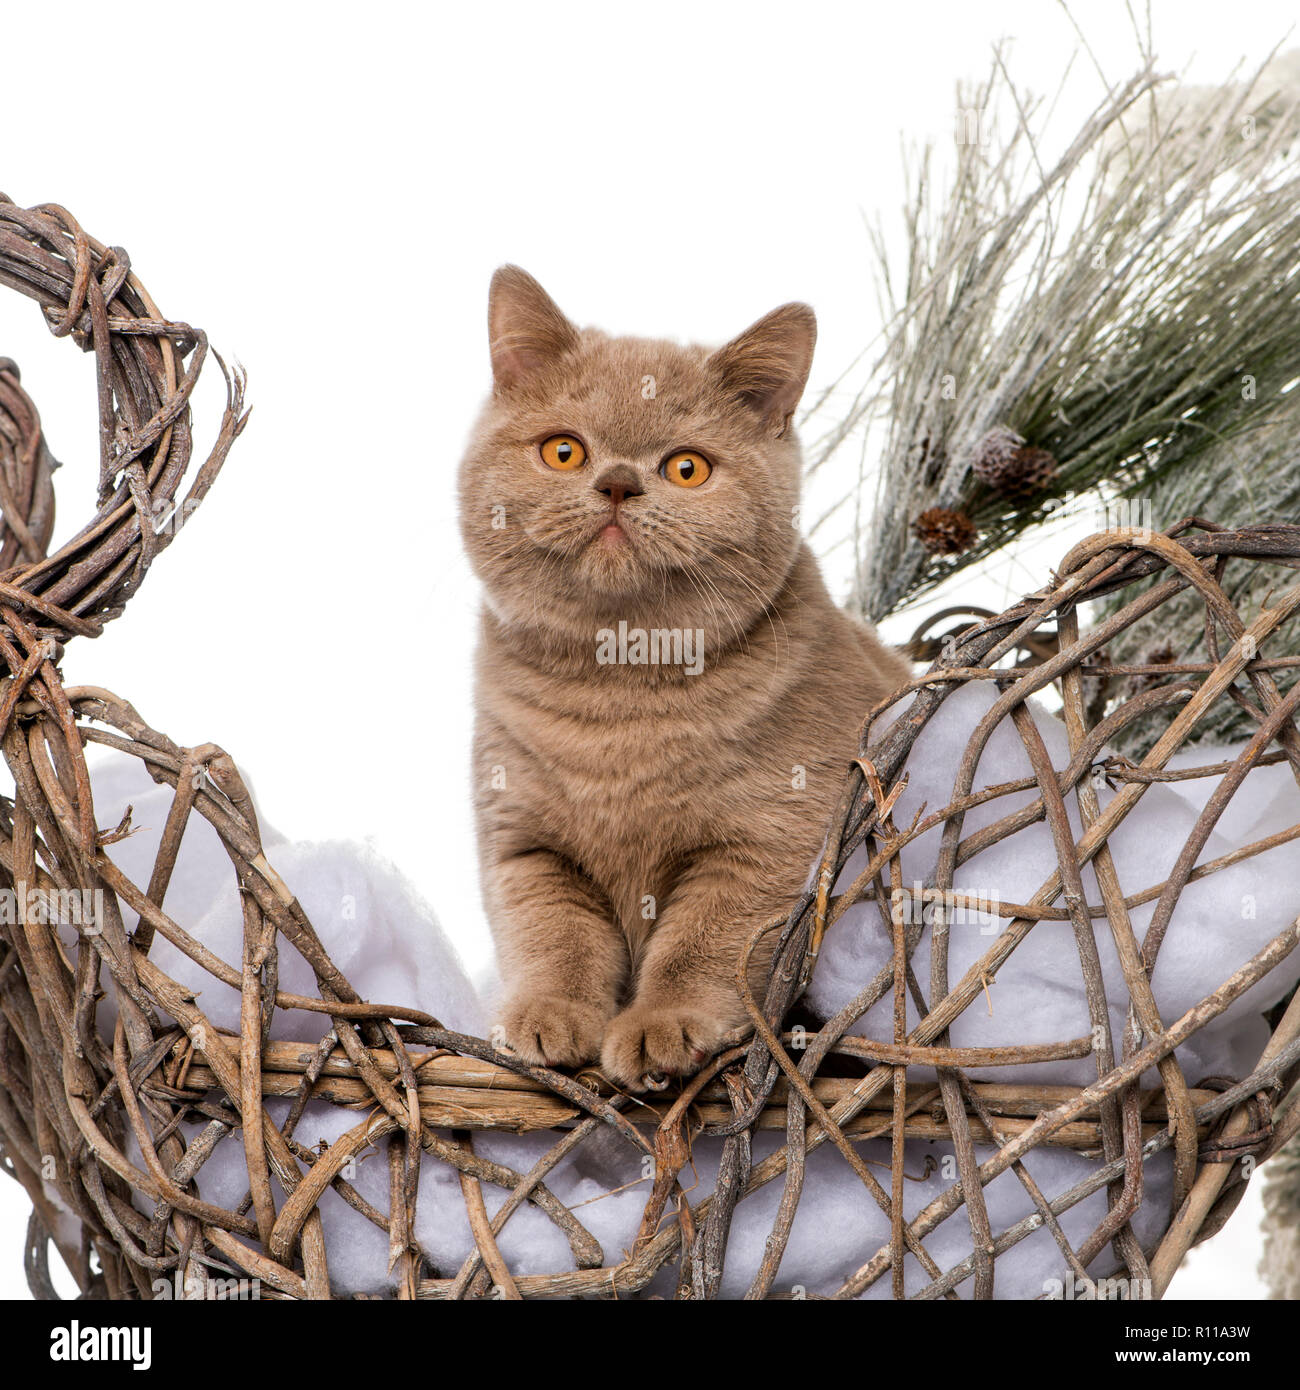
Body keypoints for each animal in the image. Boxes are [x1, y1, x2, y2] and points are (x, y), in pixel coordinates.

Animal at [461, 265, 912, 1089]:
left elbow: (703, 946)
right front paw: (547, 1016)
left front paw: (664, 1026)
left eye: (686, 467)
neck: (617, 698)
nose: (616, 483)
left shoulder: (768, 845)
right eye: (565, 452)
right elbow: (553, 937)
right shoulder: (524, 845)